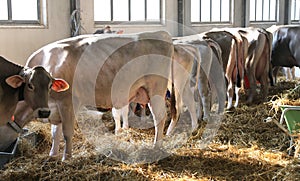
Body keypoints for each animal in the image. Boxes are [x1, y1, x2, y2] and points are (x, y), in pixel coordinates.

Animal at [12, 30, 175, 160]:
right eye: (30, 85)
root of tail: (160, 33)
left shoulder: (67, 102)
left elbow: (67, 132)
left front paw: (67, 157)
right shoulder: (54, 108)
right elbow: (55, 133)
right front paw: (52, 155)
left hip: (156, 89)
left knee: (160, 117)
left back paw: (156, 147)